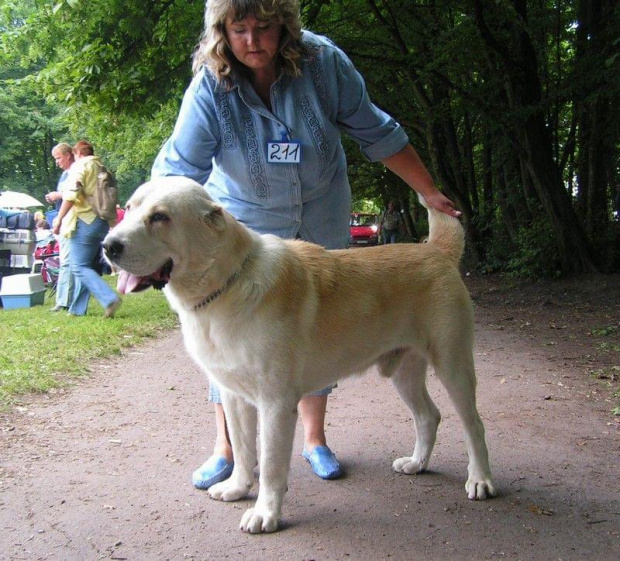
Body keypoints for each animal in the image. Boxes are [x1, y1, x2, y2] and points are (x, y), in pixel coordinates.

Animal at [104, 177, 496, 532]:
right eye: (131, 208)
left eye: (160, 217)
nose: (108, 246)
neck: (226, 285)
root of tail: (436, 250)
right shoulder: (233, 397)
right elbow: (243, 451)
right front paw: (237, 488)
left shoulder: (275, 404)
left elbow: (271, 465)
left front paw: (265, 513)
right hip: (403, 373)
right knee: (429, 416)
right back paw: (416, 464)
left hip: (453, 366)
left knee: (474, 425)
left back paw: (480, 480)